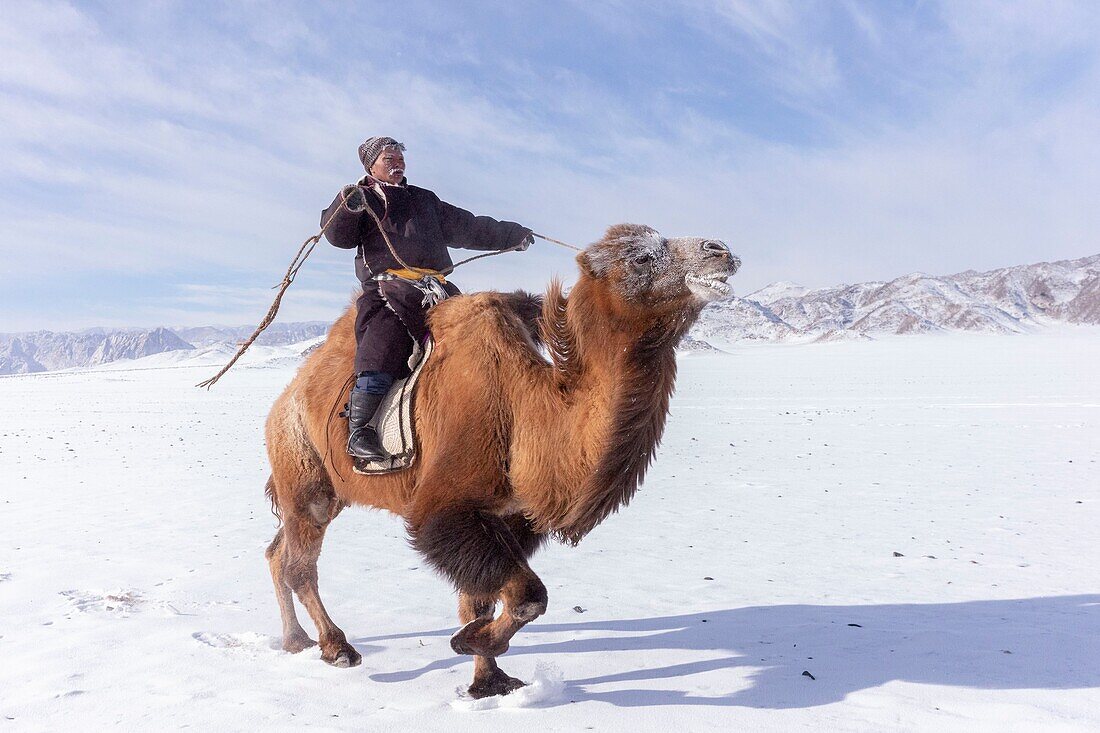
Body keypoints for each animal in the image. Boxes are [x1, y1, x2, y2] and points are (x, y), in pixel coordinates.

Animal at [264, 222, 739, 695]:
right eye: (640, 257)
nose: (721, 251)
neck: (522, 410)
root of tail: (284, 402)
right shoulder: (446, 506)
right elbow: (528, 595)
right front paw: (470, 643)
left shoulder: (511, 515)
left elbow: (483, 599)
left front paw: (487, 678)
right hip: (303, 476)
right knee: (300, 565)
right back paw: (336, 647)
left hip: (328, 491)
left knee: (277, 552)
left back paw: (295, 640)